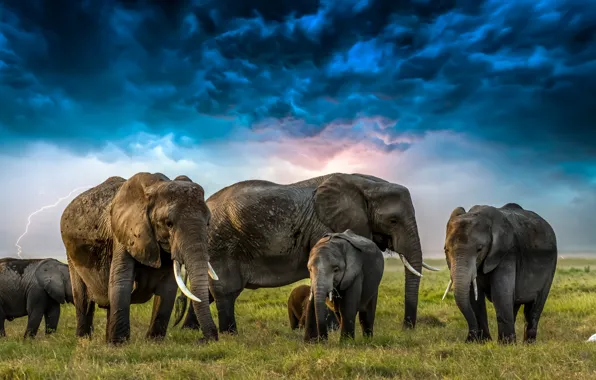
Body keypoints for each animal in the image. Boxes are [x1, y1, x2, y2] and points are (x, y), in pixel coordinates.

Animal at [58, 172, 219, 344]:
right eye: (169, 224)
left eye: (208, 223)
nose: (203, 340)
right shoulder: (124, 234)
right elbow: (121, 281)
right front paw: (118, 344)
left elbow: (168, 287)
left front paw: (154, 342)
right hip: (71, 254)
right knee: (83, 299)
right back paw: (83, 340)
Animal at [175, 174, 440, 334]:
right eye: (393, 220)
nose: (407, 327)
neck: (365, 183)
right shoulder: (325, 226)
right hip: (221, 243)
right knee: (225, 290)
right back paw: (229, 333)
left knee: (207, 291)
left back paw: (191, 331)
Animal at [442, 203, 560, 342]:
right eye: (446, 250)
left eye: (479, 249)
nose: (468, 339)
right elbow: (474, 296)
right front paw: (482, 342)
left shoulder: (507, 253)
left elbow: (500, 293)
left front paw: (504, 344)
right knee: (514, 303)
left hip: (551, 266)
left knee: (535, 306)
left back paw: (527, 344)